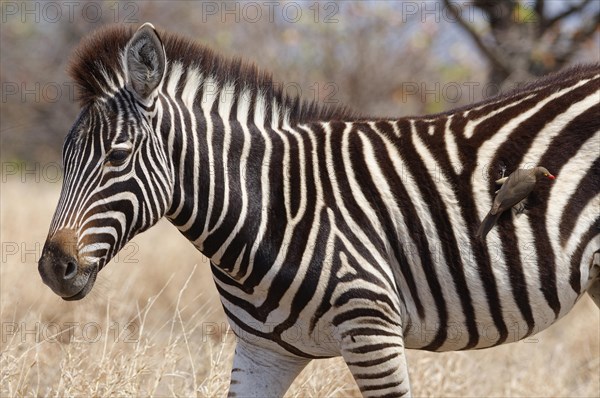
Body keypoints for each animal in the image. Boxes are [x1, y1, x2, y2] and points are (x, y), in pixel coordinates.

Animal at [38, 23, 600, 396]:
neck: (268, 206)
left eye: (117, 156)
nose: (52, 267)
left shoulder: (373, 332)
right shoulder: (262, 353)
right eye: (63, 159)